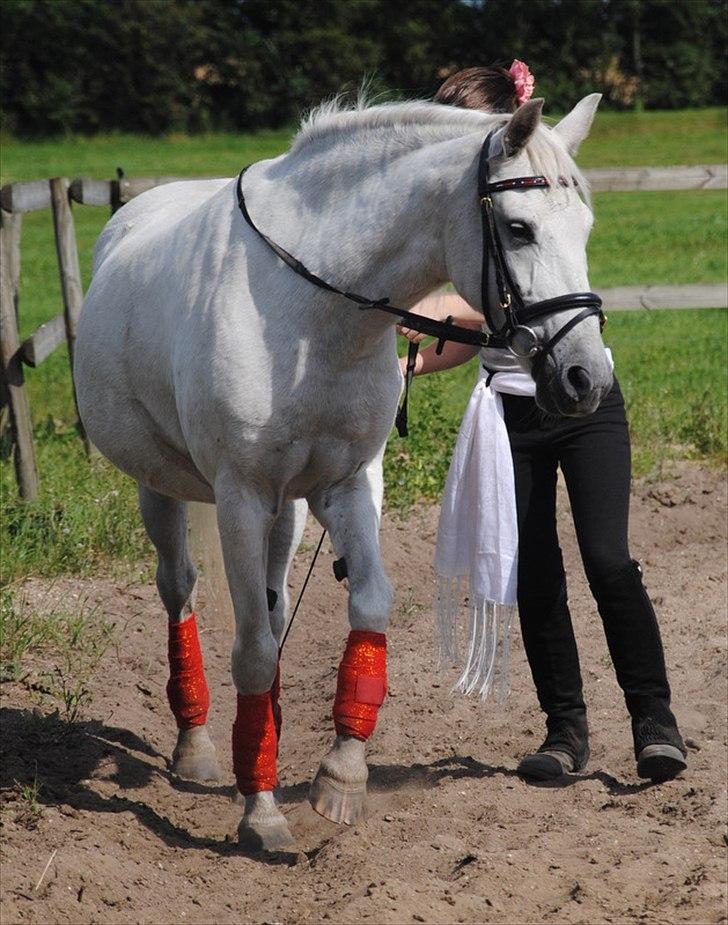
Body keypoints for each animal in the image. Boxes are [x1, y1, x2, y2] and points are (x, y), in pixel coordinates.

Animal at [74, 95, 612, 852]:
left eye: (585, 228)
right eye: (518, 227)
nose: (585, 377)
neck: (312, 316)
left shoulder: (344, 487)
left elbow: (368, 606)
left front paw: (341, 775)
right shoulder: (241, 498)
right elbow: (251, 648)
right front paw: (262, 812)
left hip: (289, 511)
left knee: (272, 603)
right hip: (163, 490)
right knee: (181, 590)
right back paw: (200, 745)